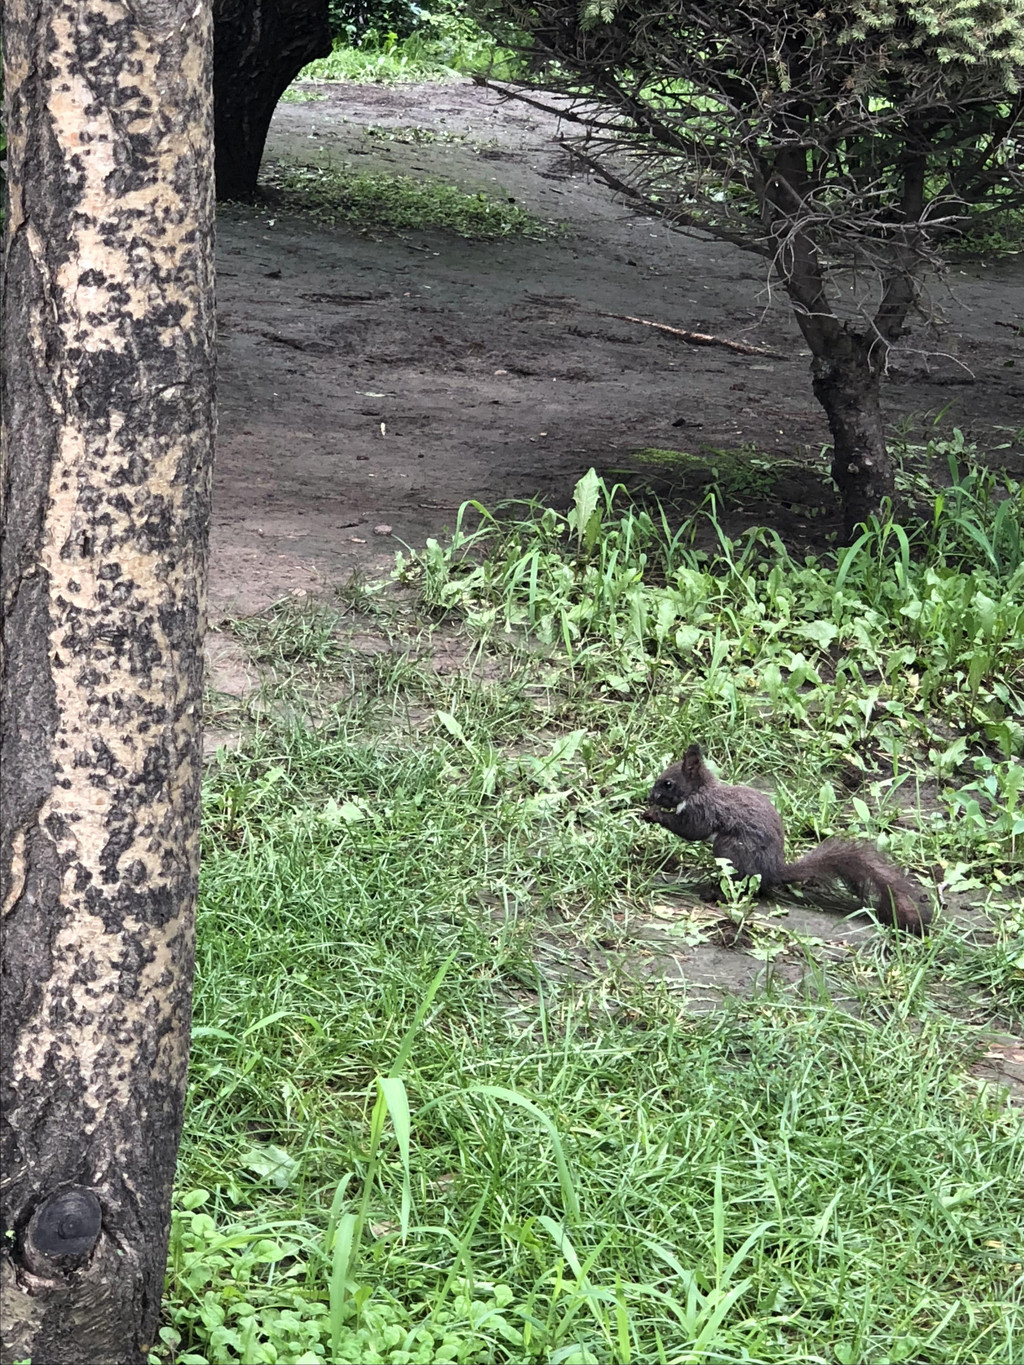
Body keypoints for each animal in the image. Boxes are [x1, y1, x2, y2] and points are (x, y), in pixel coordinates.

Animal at [644, 742, 933, 933]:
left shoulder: (703, 810)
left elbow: (691, 829)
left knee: (746, 885)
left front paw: (655, 815)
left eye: (667, 783)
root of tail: (773, 871)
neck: (701, 790)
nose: (650, 797)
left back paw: (713, 891)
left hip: (730, 849)